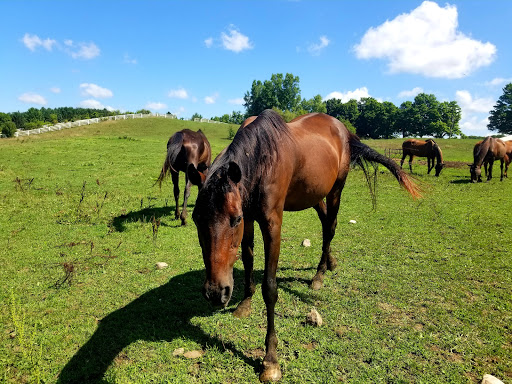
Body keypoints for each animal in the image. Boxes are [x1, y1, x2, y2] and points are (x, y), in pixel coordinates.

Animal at [188, 109, 420, 382]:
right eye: (196, 218)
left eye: (234, 220)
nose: (216, 293)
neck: (261, 158)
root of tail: (343, 129)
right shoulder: (250, 216)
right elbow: (247, 258)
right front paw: (245, 302)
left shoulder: (270, 223)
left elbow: (270, 288)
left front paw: (270, 361)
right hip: (315, 194)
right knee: (325, 222)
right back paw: (330, 262)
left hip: (335, 190)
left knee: (330, 227)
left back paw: (319, 275)